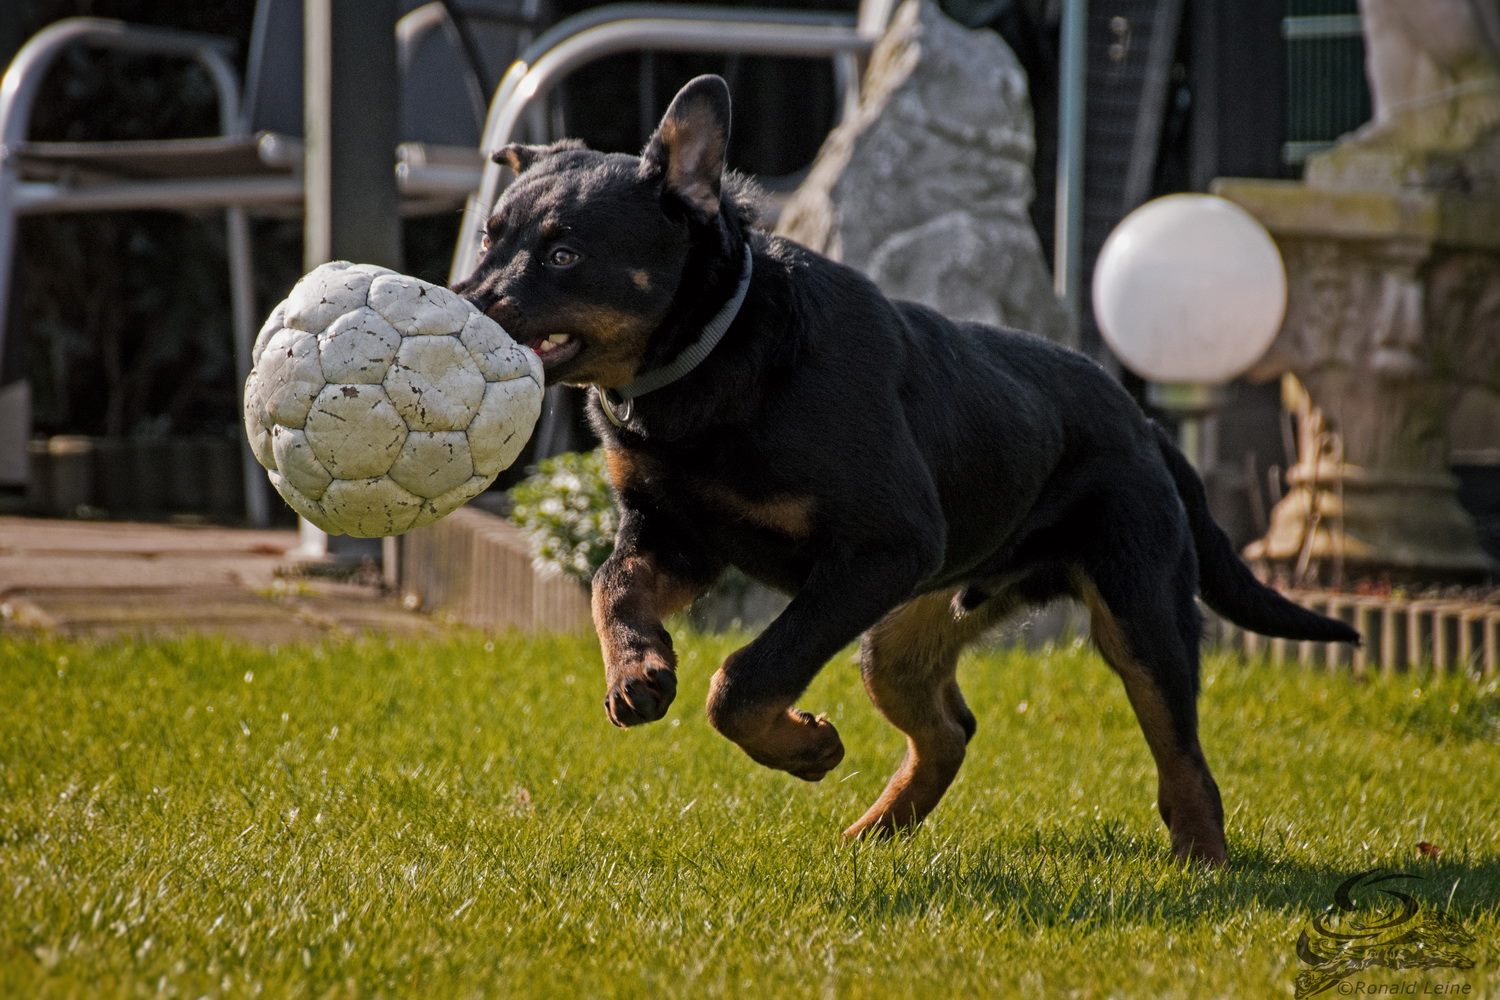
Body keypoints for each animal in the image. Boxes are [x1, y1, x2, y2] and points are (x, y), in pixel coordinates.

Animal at [456, 78, 1362, 863]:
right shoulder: (676, 534)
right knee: (950, 730)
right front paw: (639, 672)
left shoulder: (880, 547)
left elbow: (747, 675)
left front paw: (806, 747)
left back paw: (1202, 861)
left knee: (1182, 754)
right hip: (903, 628)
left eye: (564, 254)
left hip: (1136, 608)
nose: (464, 295)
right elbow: (612, 589)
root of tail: (1140, 421)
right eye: (491, 237)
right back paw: (875, 833)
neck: (713, 363)